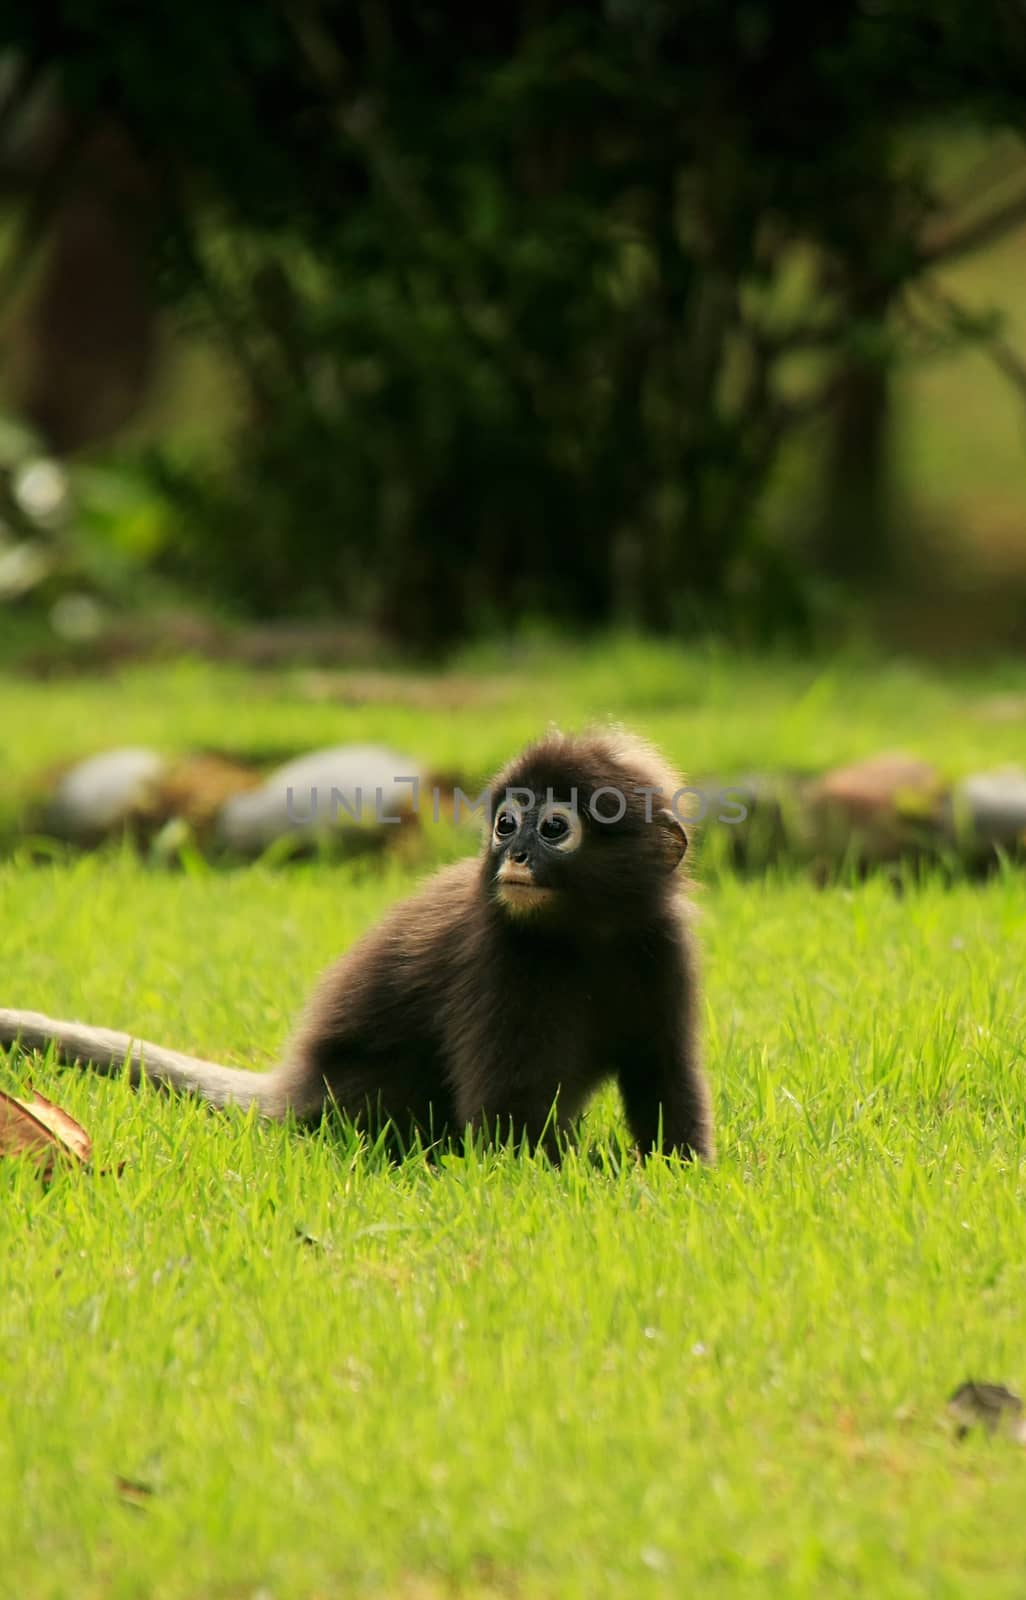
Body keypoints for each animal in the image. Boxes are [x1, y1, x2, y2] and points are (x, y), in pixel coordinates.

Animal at [0, 729, 717, 1164]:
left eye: (553, 829)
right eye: (507, 823)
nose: (514, 855)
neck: (584, 935)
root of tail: (293, 1090)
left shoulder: (662, 944)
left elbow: (663, 1071)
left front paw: (686, 1173)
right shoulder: (496, 958)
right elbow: (503, 1123)